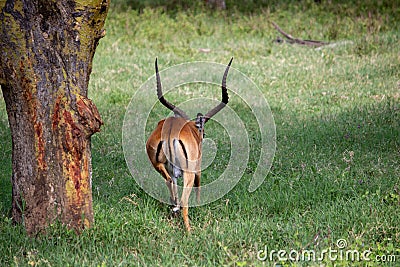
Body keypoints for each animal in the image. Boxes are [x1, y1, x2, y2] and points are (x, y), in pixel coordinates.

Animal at [145, 58, 233, 232]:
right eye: (203, 134)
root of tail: (170, 133)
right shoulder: (197, 168)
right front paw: (199, 206)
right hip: (188, 172)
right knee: (184, 200)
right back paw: (189, 231)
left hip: (159, 166)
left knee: (169, 182)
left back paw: (174, 209)